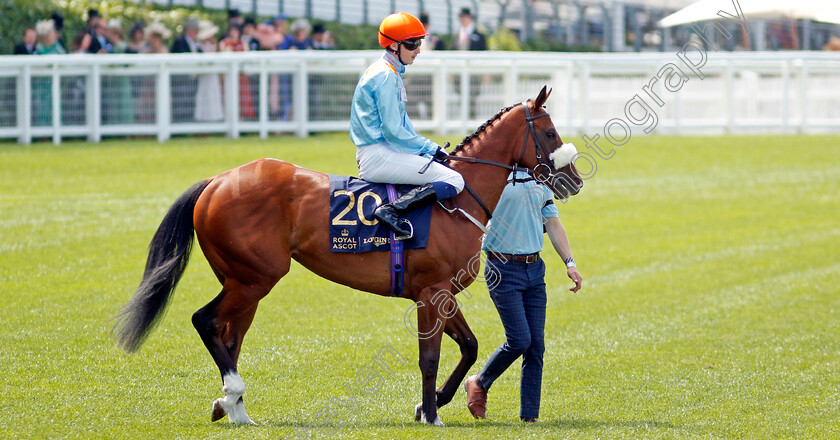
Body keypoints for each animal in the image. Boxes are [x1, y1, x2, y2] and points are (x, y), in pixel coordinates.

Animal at [113, 86, 584, 426]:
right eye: (549, 133)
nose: (574, 180)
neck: (457, 195)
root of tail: (217, 180)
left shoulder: (443, 293)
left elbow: (469, 347)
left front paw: (429, 405)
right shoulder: (430, 293)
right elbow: (429, 358)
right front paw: (431, 414)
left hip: (242, 282)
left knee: (230, 335)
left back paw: (234, 408)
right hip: (255, 278)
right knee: (206, 321)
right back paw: (231, 395)